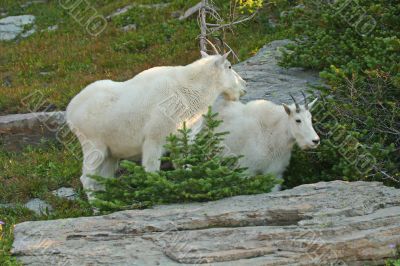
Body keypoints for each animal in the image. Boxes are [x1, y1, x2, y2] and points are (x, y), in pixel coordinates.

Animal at [66, 51, 247, 194]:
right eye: (229, 66)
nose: (244, 85)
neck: (190, 93)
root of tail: (70, 111)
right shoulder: (154, 138)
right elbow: (151, 170)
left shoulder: (183, 137)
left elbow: (184, 165)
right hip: (93, 145)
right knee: (87, 178)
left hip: (111, 153)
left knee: (103, 178)